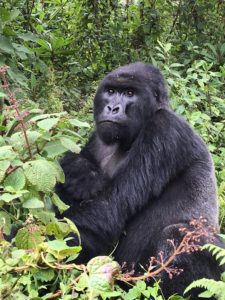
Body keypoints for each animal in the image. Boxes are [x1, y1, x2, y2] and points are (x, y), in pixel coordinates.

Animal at [55, 62, 223, 298]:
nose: (112, 108)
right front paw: (80, 171)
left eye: (129, 93)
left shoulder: (165, 130)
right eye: (111, 91)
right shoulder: (99, 137)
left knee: (179, 235)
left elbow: (107, 211)